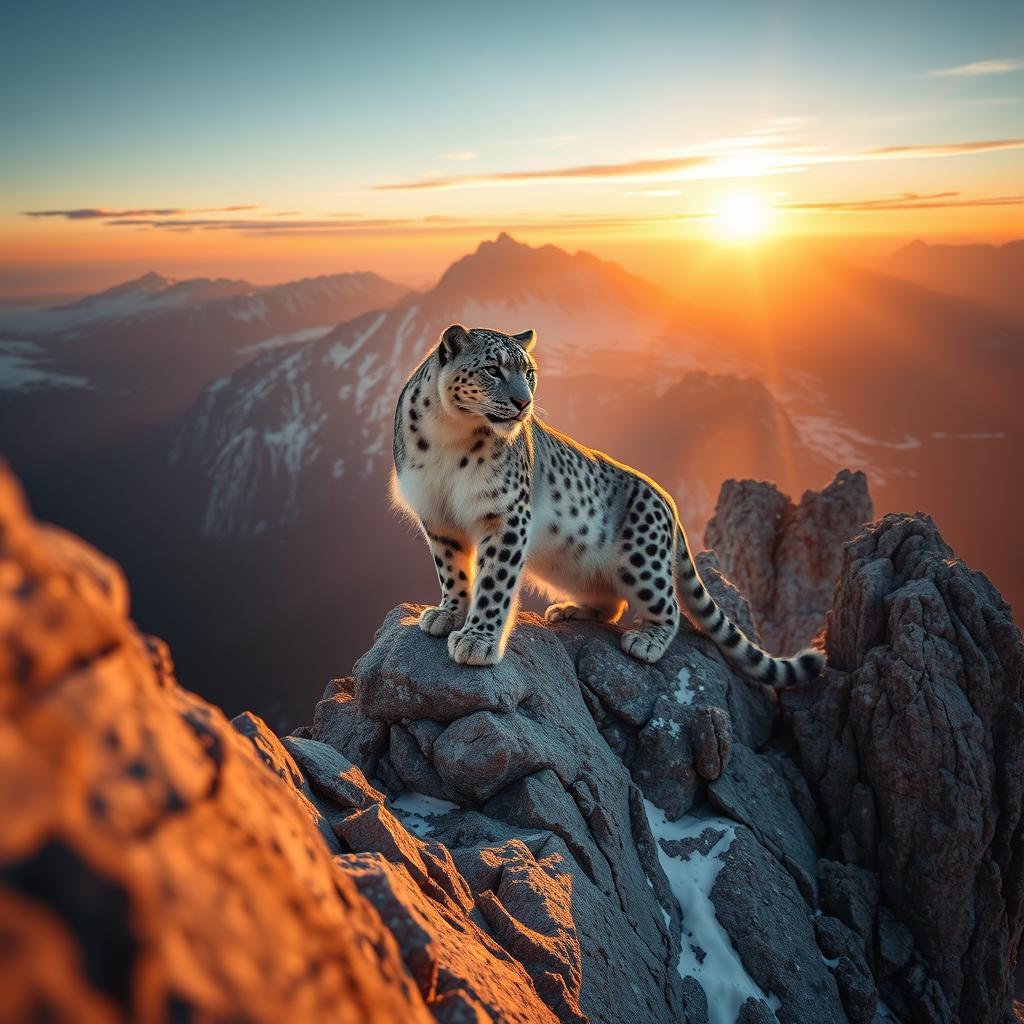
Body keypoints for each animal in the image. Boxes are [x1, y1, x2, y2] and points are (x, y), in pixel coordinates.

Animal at [391, 324, 825, 686]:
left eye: (529, 373)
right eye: (493, 369)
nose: (522, 402)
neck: (451, 438)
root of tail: (669, 501)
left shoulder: (506, 515)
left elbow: (494, 582)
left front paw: (477, 641)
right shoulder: (437, 516)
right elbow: (452, 571)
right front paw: (448, 613)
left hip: (642, 559)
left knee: (669, 606)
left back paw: (645, 641)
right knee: (612, 602)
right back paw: (568, 610)